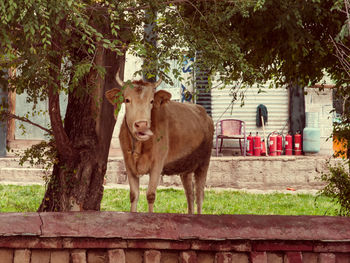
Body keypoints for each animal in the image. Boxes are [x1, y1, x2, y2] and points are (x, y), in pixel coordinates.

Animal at [105, 73, 213, 216]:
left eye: (151, 101)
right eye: (127, 100)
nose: (142, 125)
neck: (139, 145)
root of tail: (204, 113)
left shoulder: (157, 164)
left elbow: (150, 195)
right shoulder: (128, 164)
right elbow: (134, 195)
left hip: (203, 163)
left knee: (199, 195)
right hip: (186, 168)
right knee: (189, 194)